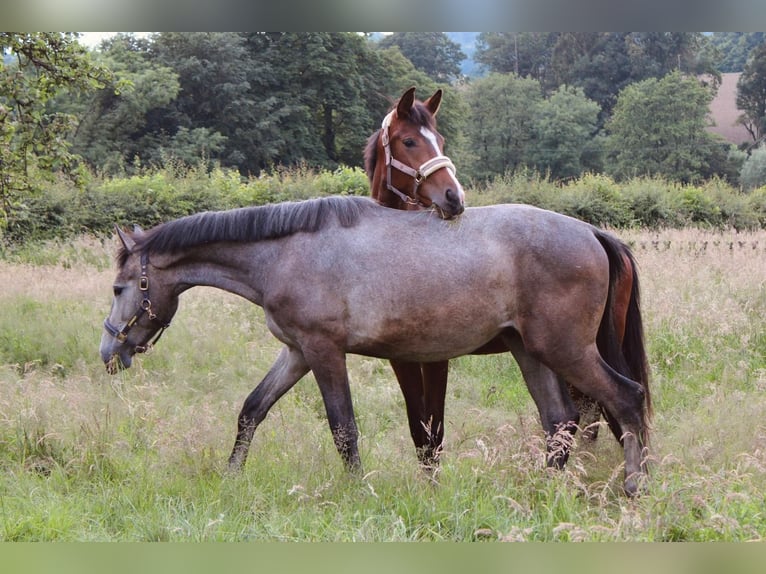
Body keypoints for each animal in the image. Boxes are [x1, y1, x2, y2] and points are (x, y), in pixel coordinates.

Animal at [366, 88, 648, 470]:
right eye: (408, 141)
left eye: (440, 140)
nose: (453, 197)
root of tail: (595, 234)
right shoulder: (404, 360)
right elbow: (420, 430)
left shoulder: (434, 359)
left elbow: (432, 431)